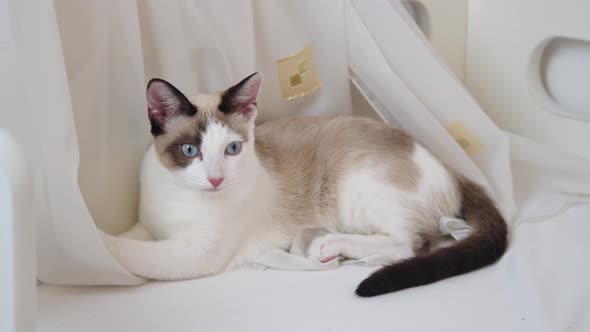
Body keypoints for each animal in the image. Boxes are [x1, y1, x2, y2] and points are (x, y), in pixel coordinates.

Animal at [102, 72, 508, 296]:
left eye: (232, 148)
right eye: (189, 150)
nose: (216, 179)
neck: (179, 196)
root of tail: (449, 167)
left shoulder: (194, 253)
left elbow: (125, 251)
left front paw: (90, 250)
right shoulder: (146, 226)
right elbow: (127, 238)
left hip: (357, 190)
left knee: (411, 244)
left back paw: (328, 246)